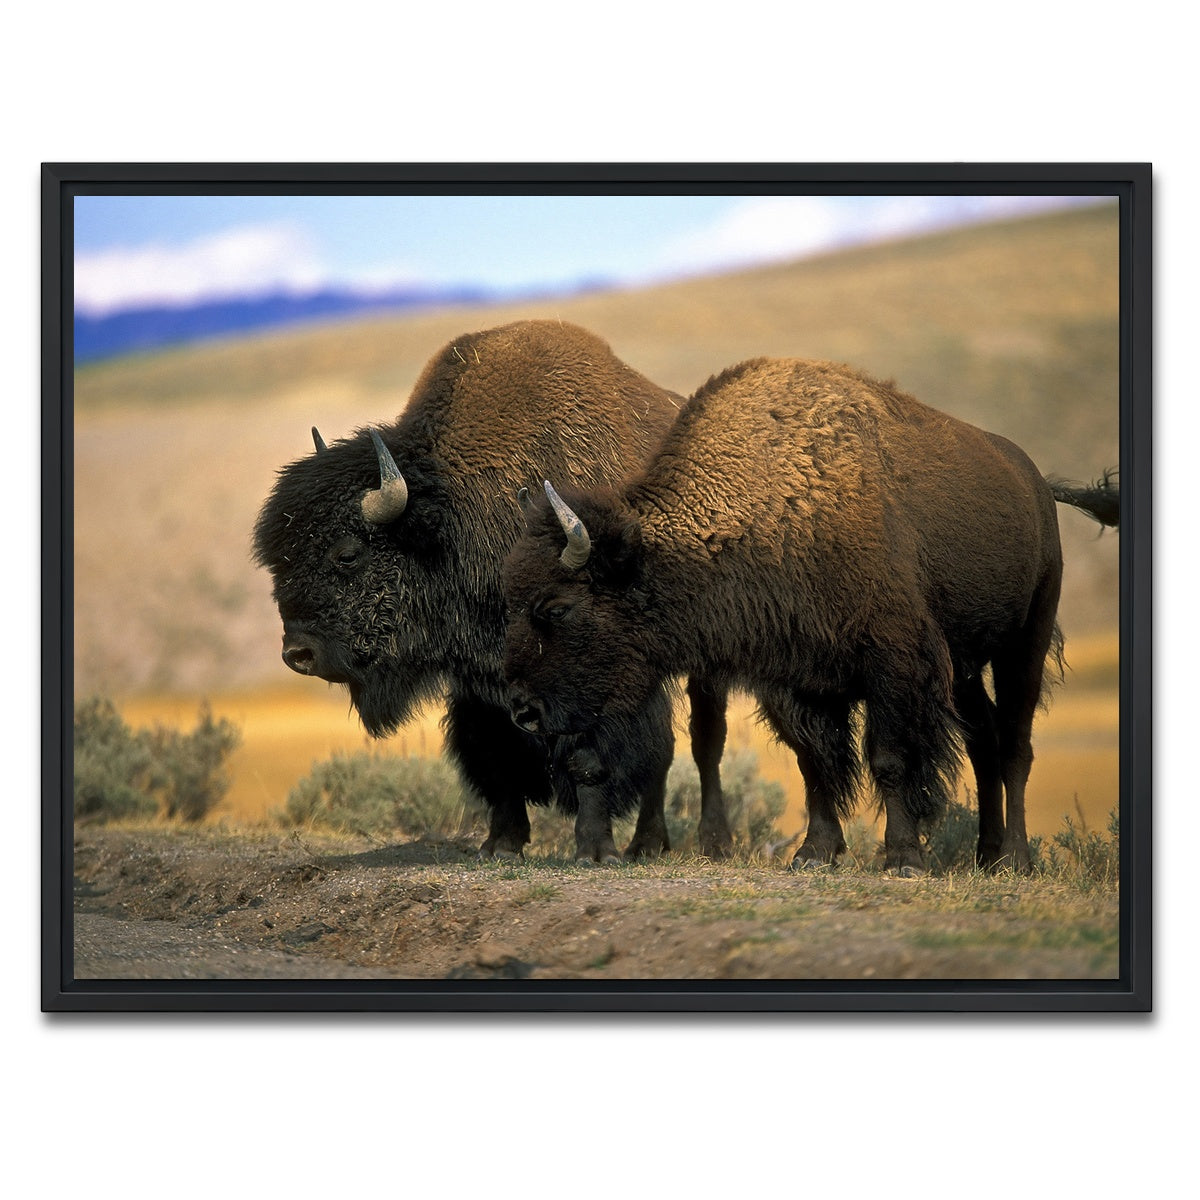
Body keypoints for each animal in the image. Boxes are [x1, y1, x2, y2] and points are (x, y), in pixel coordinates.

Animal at [253, 319, 728, 862]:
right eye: (278, 560)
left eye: (348, 554)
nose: (298, 654)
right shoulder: (479, 681)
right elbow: (496, 754)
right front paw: (501, 843)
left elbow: (592, 756)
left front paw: (594, 850)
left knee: (698, 742)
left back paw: (682, 843)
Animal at [502, 357, 1119, 874]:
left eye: (556, 607)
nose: (523, 710)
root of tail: (1036, 483)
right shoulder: (796, 680)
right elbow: (815, 762)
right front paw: (814, 853)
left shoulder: (894, 663)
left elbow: (889, 758)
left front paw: (902, 858)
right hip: (965, 666)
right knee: (983, 741)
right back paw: (986, 856)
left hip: (1025, 643)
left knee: (1015, 743)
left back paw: (1015, 857)